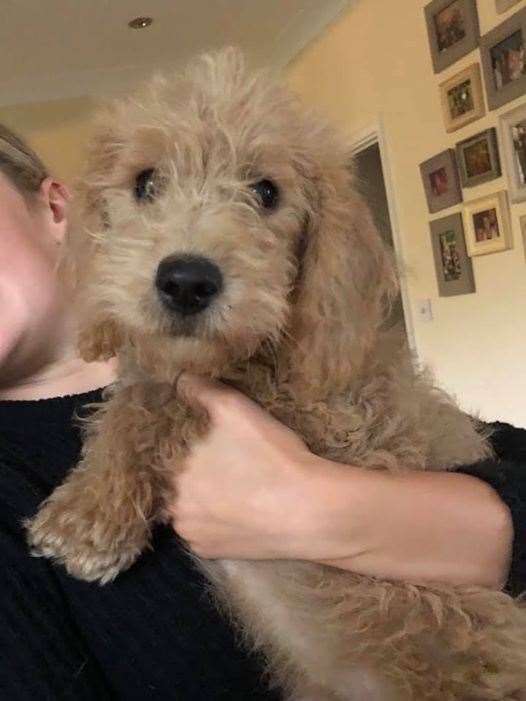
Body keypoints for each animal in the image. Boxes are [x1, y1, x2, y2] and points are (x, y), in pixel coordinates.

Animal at [26, 49, 526, 700]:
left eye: (266, 192)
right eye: (145, 182)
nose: (186, 281)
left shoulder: (323, 417)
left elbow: (153, 399)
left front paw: (86, 516)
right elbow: (140, 387)